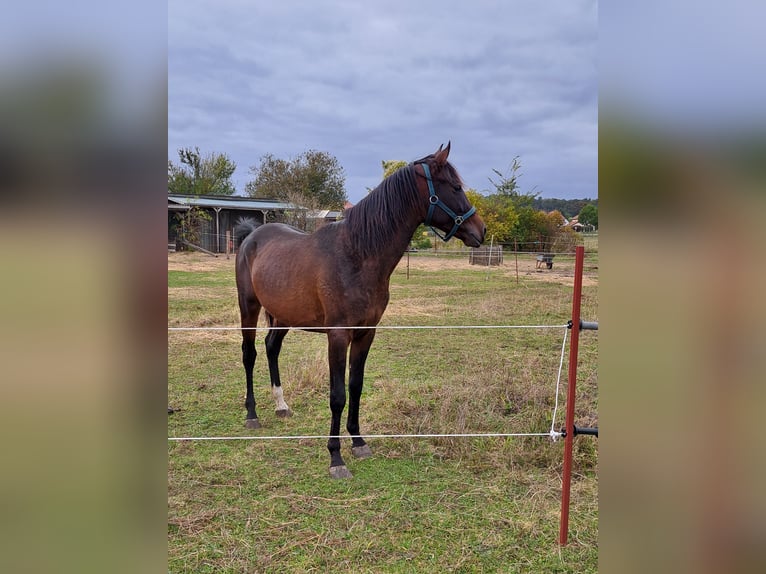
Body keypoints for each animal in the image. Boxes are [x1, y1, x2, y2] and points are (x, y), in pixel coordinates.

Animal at [231, 144, 488, 482]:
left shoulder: (366, 333)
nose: (480, 230)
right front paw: (335, 458)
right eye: (455, 187)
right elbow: (337, 395)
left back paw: (281, 405)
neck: (356, 255)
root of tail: (251, 236)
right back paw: (251, 414)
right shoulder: (338, 336)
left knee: (271, 349)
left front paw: (358, 442)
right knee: (249, 355)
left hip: (283, 315)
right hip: (248, 307)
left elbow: (356, 386)